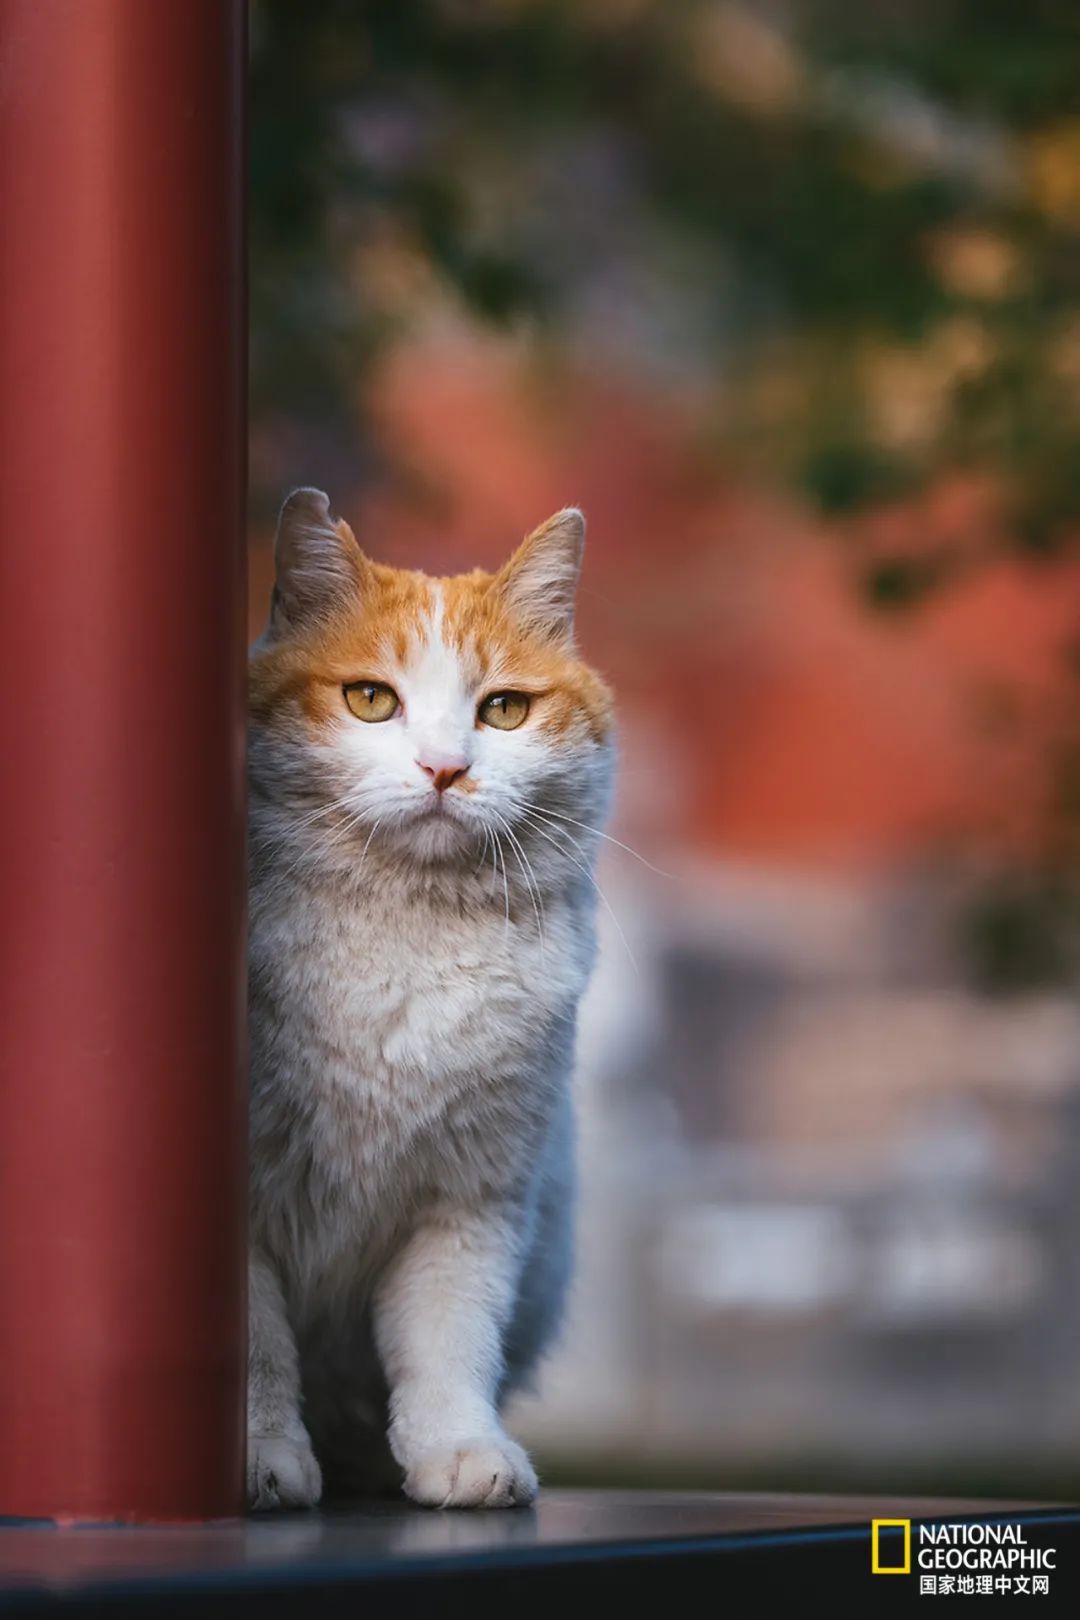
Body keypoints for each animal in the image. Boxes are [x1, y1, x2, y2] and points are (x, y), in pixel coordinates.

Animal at [247, 489, 612, 1503]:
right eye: (371, 699)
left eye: (506, 709)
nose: (447, 768)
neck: (410, 942)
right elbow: (259, 1349)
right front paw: (263, 1458)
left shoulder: (469, 1204)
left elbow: (449, 1342)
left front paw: (458, 1451)